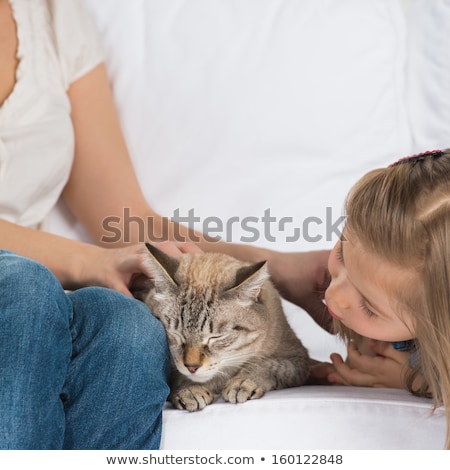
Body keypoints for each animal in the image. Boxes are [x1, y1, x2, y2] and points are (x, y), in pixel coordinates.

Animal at [132, 242, 312, 412]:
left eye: (215, 337)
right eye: (174, 334)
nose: (192, 367)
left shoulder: (298, 360)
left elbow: (268, 365)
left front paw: (243, 382)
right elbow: (177, 375)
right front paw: (190, 390)